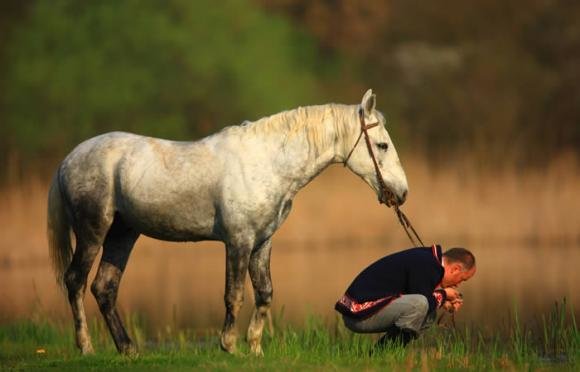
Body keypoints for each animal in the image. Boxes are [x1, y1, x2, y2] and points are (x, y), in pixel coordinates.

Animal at [47, 88, 408, 356]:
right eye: (382, 145)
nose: (402, 193)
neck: (268, 162)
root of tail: (68, 160)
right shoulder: (239, 241)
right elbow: (234, 294)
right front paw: (230, 346)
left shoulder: (262, 242)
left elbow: (265, 293)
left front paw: (255, 348)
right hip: (93, 232)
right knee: (76, 281)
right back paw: (86, 347)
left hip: (123, 233)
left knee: (104, 287)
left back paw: (128, 349)